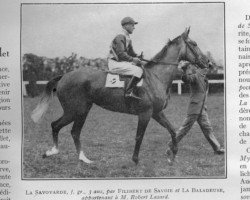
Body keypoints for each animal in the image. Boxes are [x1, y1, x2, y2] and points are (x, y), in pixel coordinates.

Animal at [31, 28, 211, 166]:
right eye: (194, 44)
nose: (208, 63)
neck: (156, 77)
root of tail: (65, 76)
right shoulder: (145, 114)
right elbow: (139, 136)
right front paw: (136, 160)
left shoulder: (157, 113)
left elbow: (173, 130)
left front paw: (172, 155)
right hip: (74, 110)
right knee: (56, 125)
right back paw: (52, 151)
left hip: (83, 111)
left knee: (75, 132)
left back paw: (83, 159)